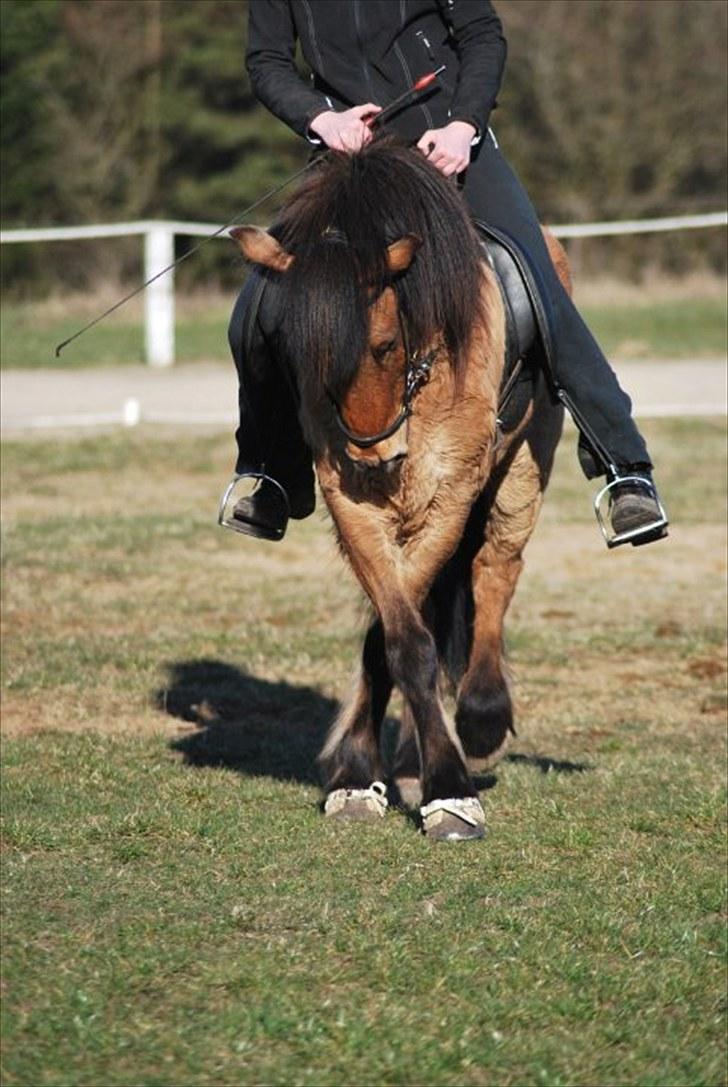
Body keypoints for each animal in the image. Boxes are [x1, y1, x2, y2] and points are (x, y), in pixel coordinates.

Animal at [233, 138, 569, 839]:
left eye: (386, 345)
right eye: (294, 352)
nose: (375, 454)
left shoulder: (450, 495)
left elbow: (410, 635)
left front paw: (451, 792)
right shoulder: (351, 503)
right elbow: (398, 636)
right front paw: (360, 773)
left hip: (525, 466)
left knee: (497, 568)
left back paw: (482, 715)